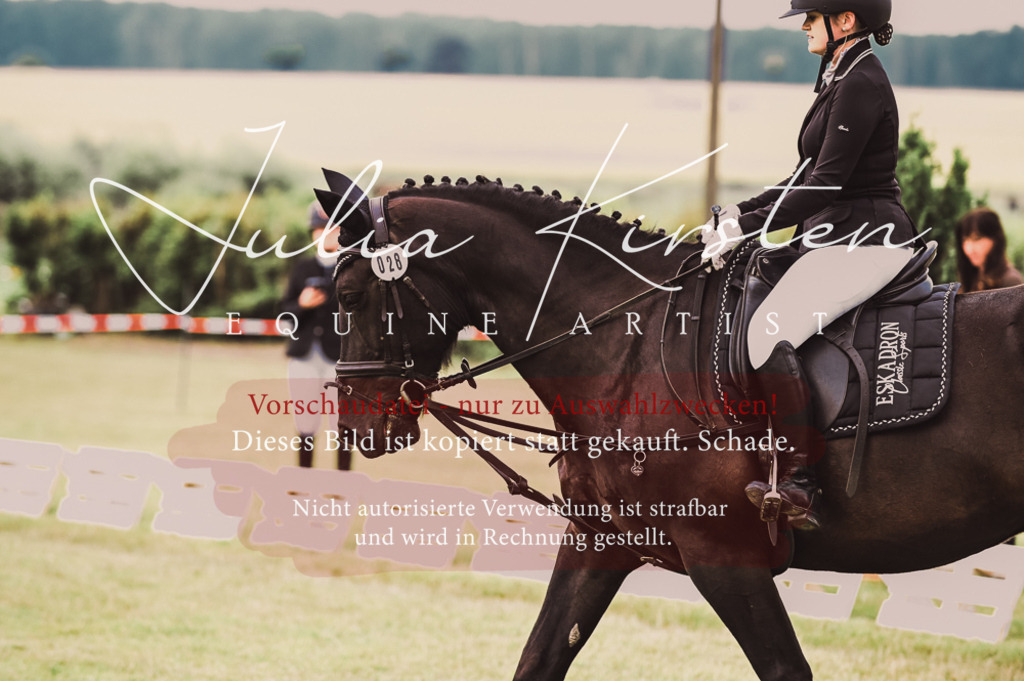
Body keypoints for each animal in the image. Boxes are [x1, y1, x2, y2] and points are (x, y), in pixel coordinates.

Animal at [319, 173, 1024, 681]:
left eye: (350, 298)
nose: (357, 428)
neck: (623, 351)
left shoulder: (723, 555)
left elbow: (784, 668)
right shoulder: (600, 543)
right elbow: (538, 658)